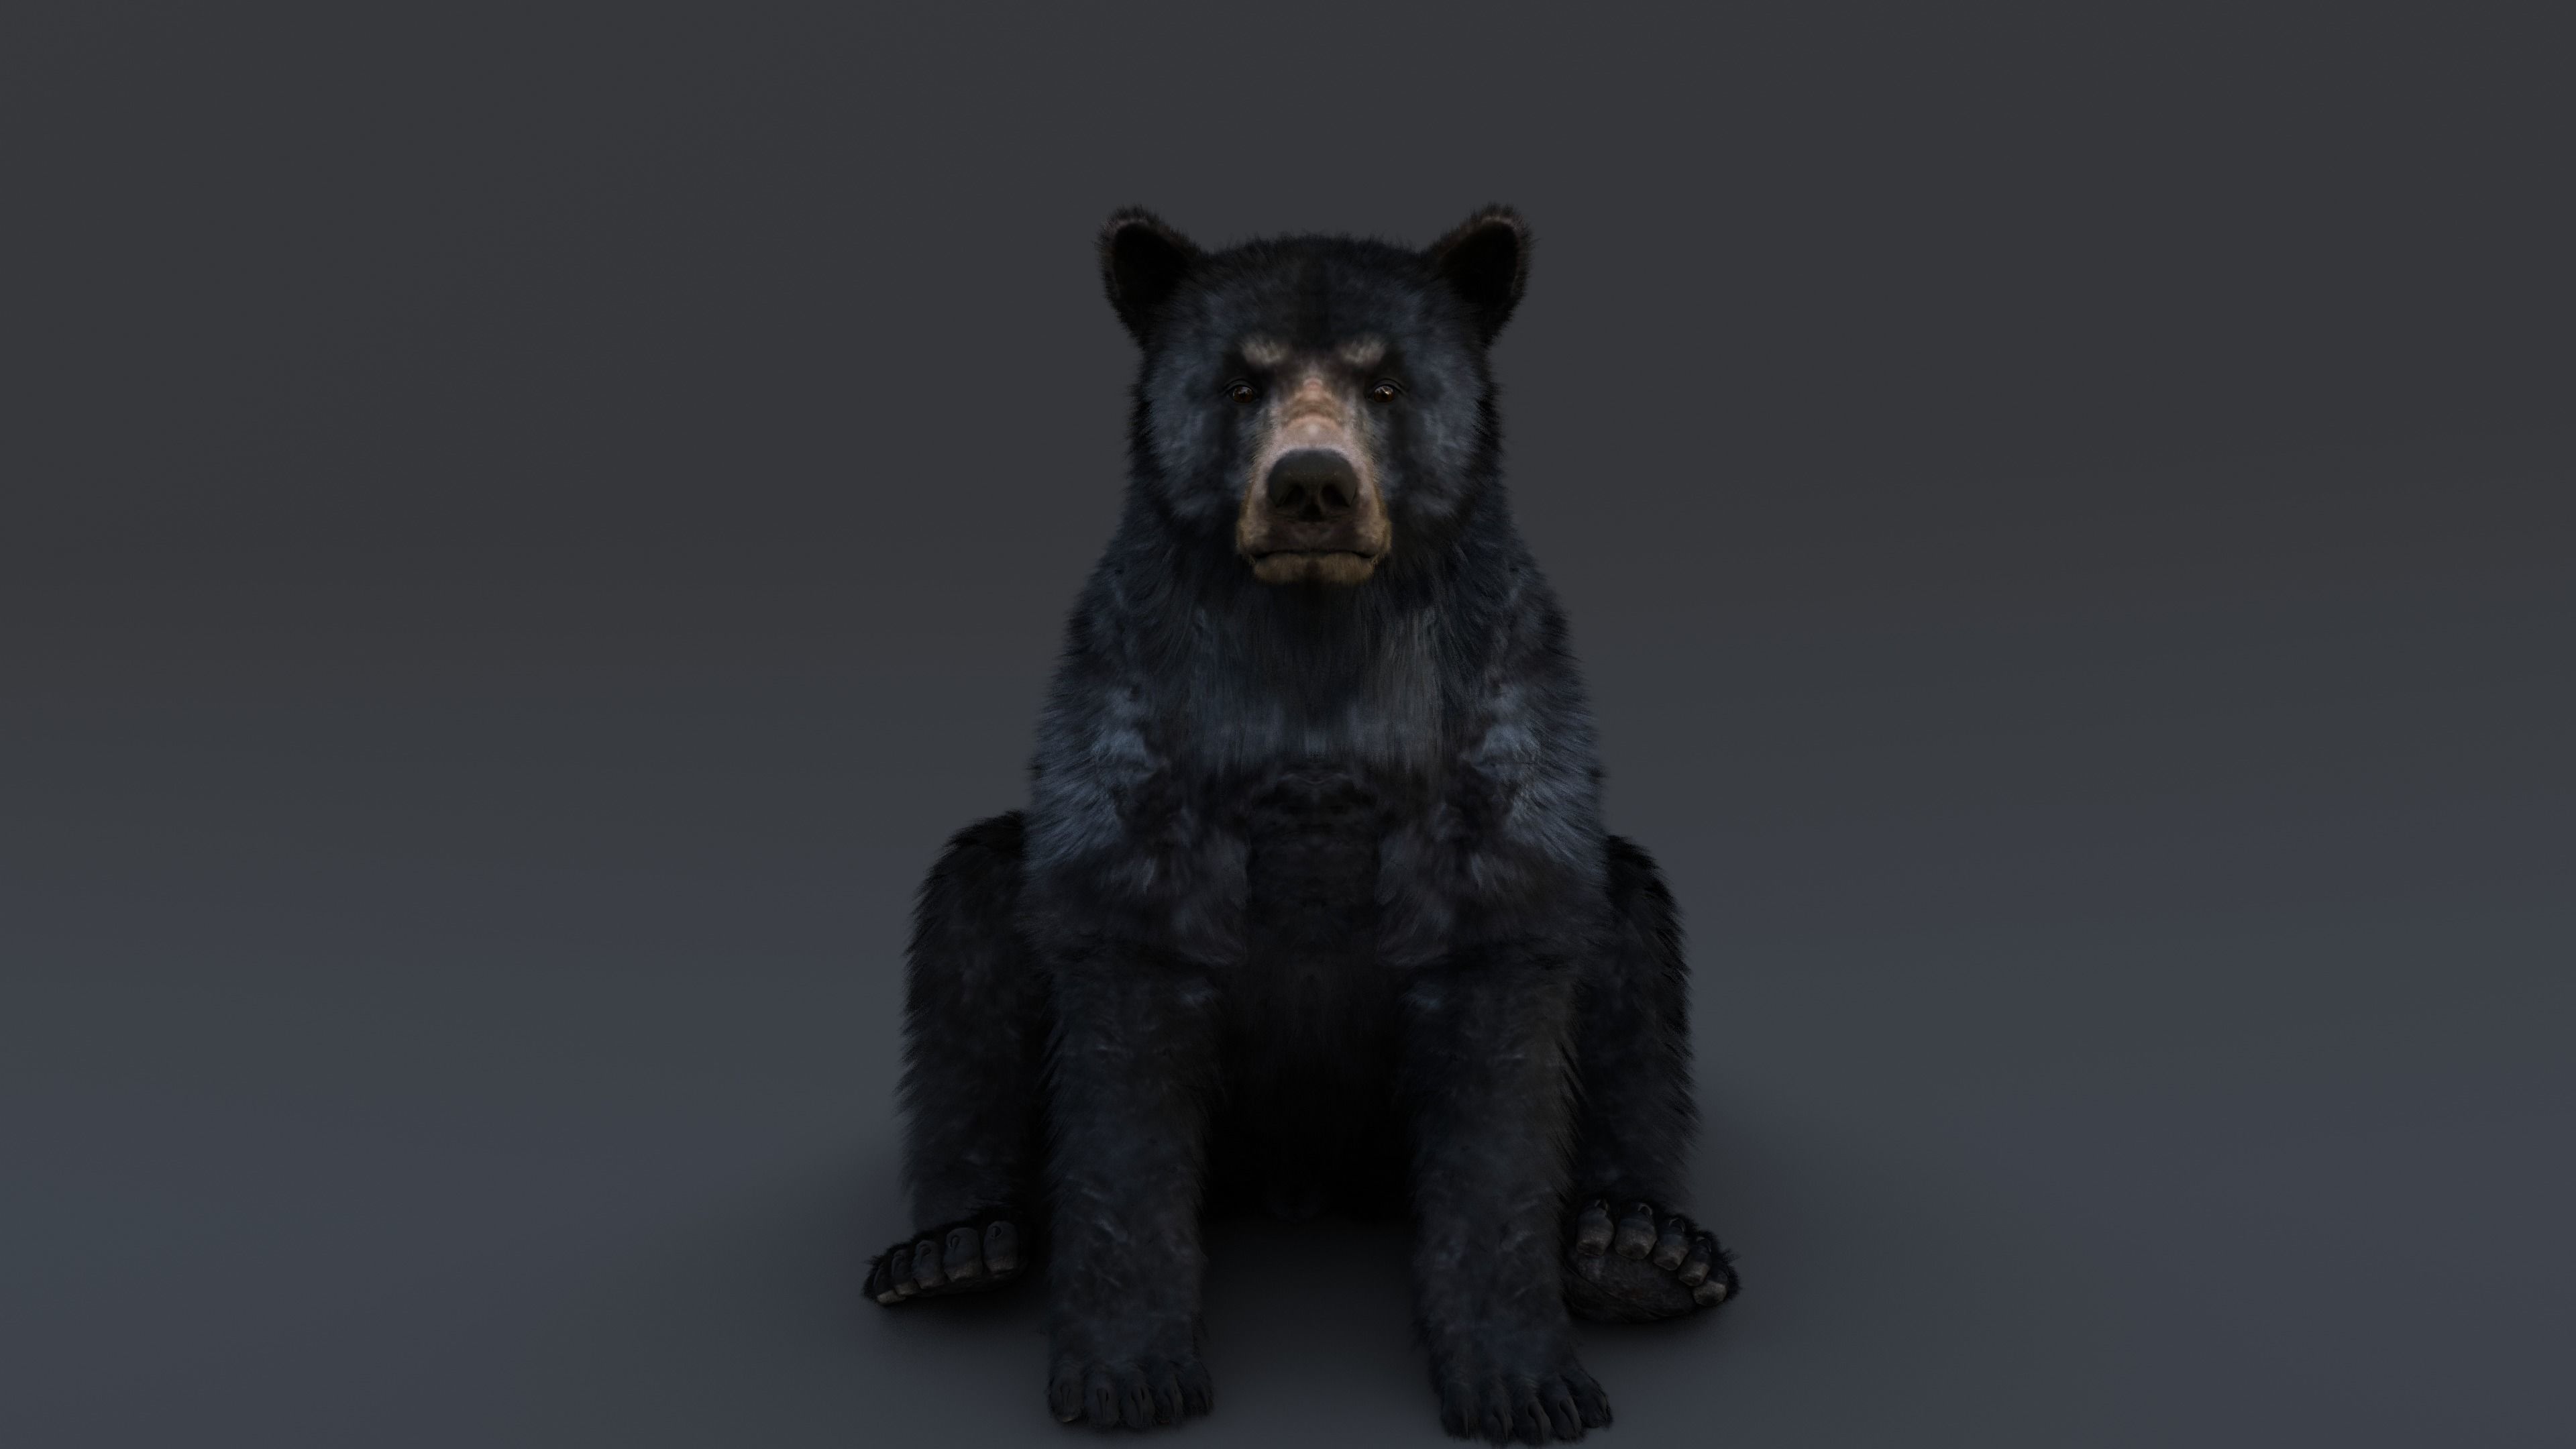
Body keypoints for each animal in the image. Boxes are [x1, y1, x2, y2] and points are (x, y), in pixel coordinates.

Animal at [864, 206, 1738, 1444]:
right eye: (1241, 382)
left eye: (1386, 383)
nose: (1313, 486)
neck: (1316, 646)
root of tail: (1303, 1187)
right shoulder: (1146, 716)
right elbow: (1125, 1058)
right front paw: (1128, 1374)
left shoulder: (1486, 716)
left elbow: (1502, 1047)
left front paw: (1525, 1381)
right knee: (970, 926)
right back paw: (955, 1247)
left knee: (1630, 947)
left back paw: (1645, 1248)